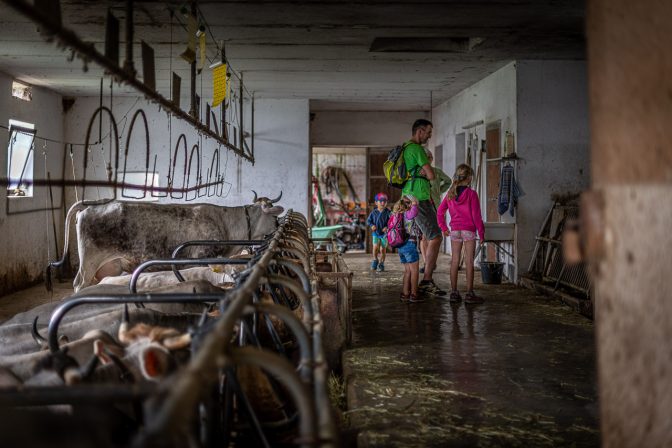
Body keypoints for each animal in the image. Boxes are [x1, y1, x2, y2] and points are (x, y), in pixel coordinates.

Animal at [49, 192, 280, 290]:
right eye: (274, 215)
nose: (279, 225)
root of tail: (94, 204)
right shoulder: (203, 256)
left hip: (109, 266)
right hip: (89, 261)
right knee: (79, 283)